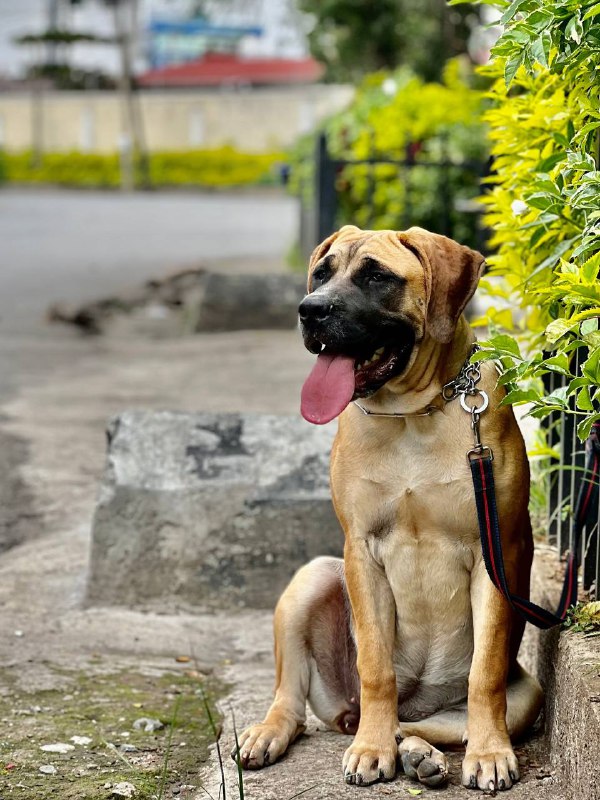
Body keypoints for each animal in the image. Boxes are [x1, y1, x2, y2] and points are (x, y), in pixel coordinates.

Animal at [235, 225, 543, 792]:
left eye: (377, 277)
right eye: (321, 273)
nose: (310, 310)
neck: (411, 415)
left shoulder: (496, 553)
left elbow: (484, 672)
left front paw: (490, 754)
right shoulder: (362, 550)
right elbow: (377, 667)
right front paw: (370, 750)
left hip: (523, 697)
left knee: (427, 724)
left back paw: (422, 755)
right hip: (313, 578)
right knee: (293, 699)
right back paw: (274, 733)